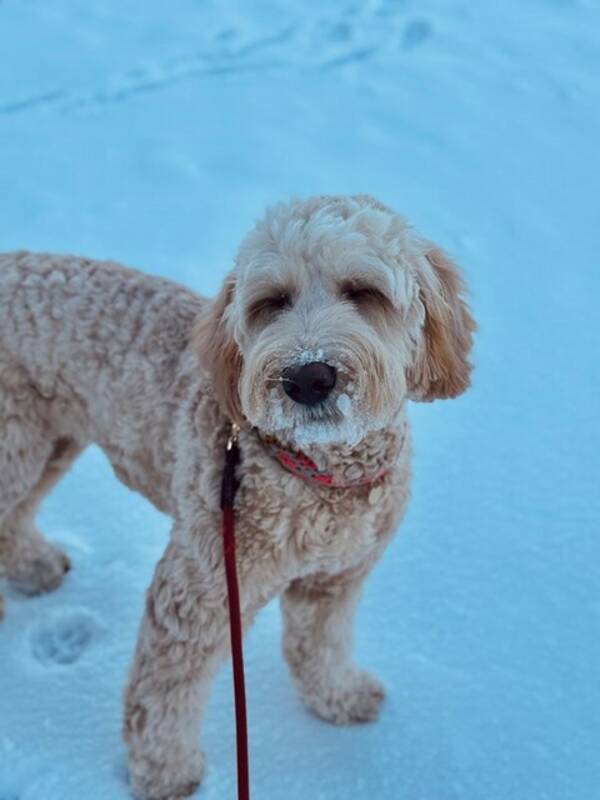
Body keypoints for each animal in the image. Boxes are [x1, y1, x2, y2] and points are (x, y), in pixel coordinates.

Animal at [1, 195, 474, 800]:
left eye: (363, 291)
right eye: (272, 302)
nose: (308, 376)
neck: (313, 473)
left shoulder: (336, 578)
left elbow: (319, 645)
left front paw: (339, 697)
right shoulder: (199, 591)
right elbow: (163, 695)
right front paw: (167, 773)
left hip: (49, 441)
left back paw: (32, 565)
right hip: (17, 444)